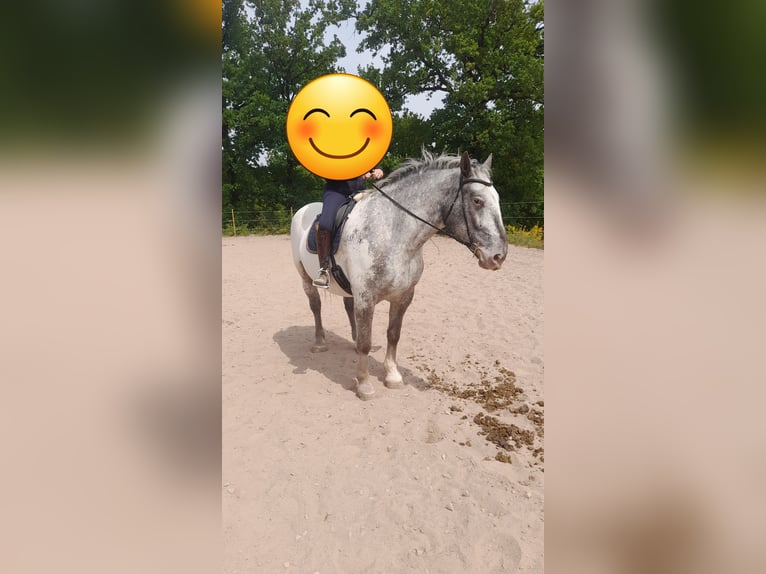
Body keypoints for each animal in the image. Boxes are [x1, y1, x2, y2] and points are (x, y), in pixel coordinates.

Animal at [290, 151, 508, 400]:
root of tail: (304, 210)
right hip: (306, 278)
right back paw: (320, 342)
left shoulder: (403, 297)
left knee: (347, 307)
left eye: (497, 198)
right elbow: (366, 342)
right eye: (477, 201)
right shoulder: (366, 297)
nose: (498, 256)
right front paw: (364, 384)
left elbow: (393, 335)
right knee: (315, 305)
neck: (393, 232)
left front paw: (393, 376)